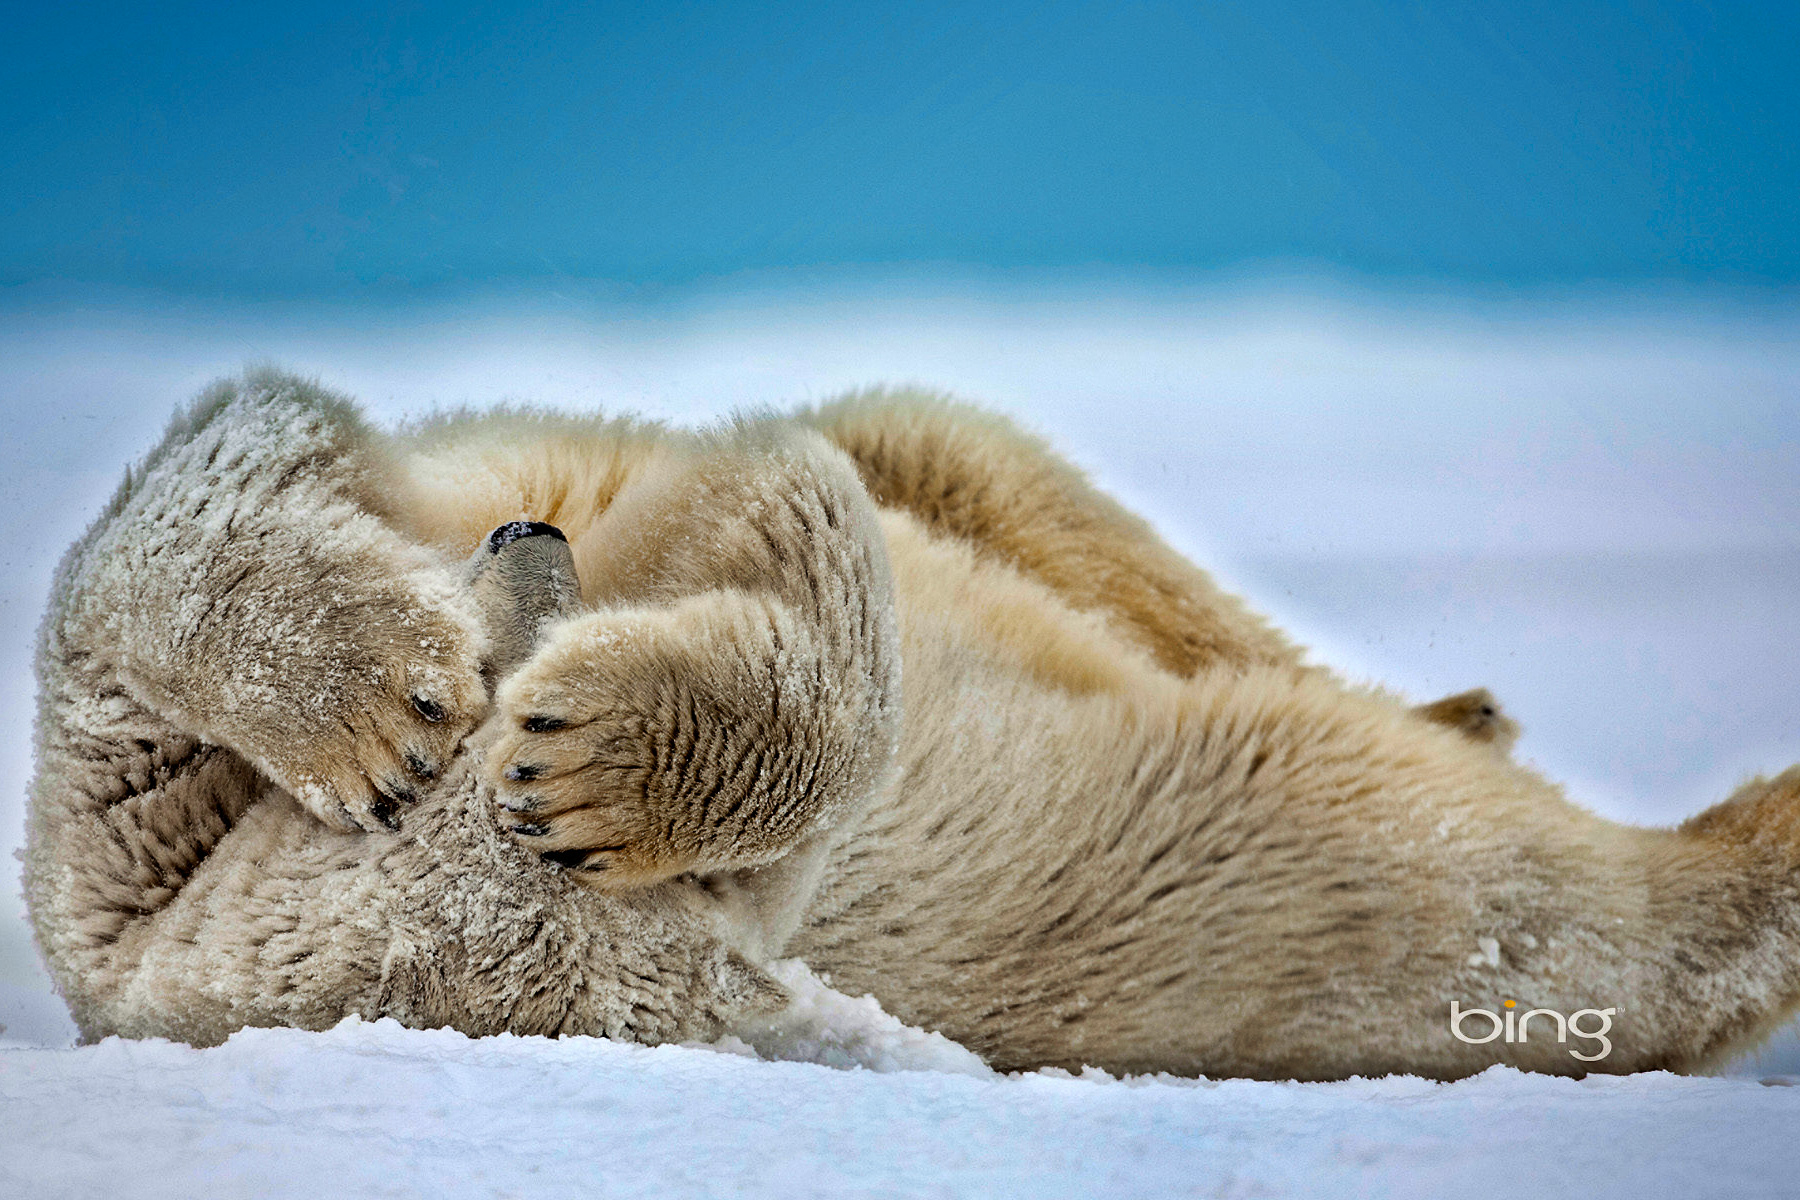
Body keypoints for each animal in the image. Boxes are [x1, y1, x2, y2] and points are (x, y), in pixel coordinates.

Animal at [21, 367, 1800, 1079]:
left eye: (512, 679)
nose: (538, 544)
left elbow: (222, 474)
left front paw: (407, 706)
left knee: (1006, 479)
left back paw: (1473, 703)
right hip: (1266, 884)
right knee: (1511, 898)